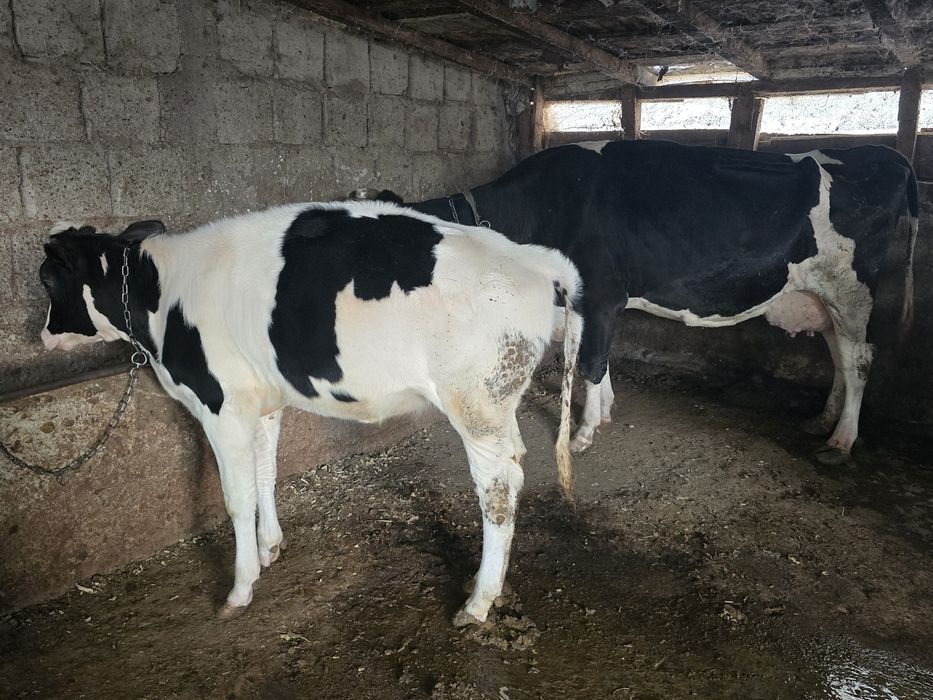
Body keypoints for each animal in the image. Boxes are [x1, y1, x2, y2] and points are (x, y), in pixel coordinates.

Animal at [38, 201, 583, 625]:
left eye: (46, 278)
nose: (43, 336)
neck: (161, 296)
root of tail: (534, 259)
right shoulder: (263, 403)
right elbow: (265, 474)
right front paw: (269, 548)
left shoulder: (220, 407)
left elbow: (236, 499)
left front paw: (239, 589)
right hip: (497, 401)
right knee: (515, 461)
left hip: (474, 403)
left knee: (499, 489)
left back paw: (478, 603)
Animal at [389, 140, 919, 463]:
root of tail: (880, 152)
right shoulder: (589, 304)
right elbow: (601, 362)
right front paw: (604, 412)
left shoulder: (600, 294)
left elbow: (591, 363)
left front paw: (583, 432)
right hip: (821, 297)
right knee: (837, 355)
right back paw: (822, 420)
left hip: (851, 289)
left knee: (859, 360)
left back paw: (842, 440)